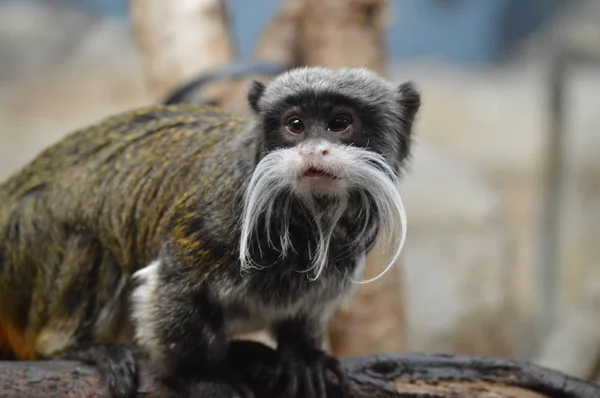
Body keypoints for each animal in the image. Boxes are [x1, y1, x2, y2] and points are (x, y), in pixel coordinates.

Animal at [0, 67, 422, 396]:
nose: (313, 151)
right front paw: (202, 377)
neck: (306, 217)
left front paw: (301, 356)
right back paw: (77, 347)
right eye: (295, 125)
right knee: (83, 234)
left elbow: (307, 311)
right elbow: (173, 287)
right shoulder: (214, 221)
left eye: (339, 124)